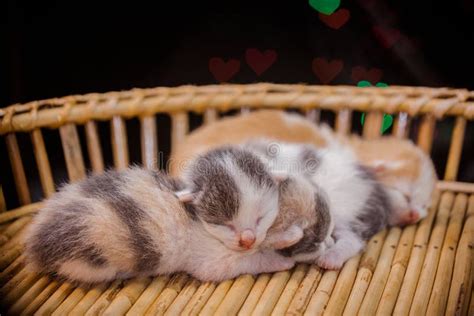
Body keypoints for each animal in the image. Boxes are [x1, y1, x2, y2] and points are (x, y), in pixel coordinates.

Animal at [25, 165, 294, 284]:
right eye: (225, 224)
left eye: (261, 217)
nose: (247, 238)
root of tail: (35, 240)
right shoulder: (210, 261)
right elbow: (246, 261)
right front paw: (278, 261)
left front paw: (287, 235)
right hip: (86, 261)